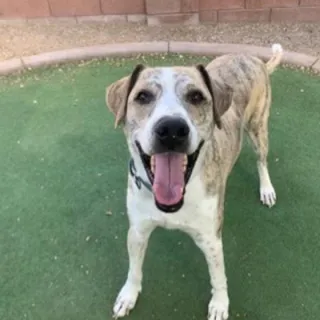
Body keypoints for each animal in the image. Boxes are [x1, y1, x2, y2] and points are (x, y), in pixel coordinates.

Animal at [105, 43, 282, 320]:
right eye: (143, 97)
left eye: (196, 97)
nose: (171, 129)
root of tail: (253, 58)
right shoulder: (137, 231)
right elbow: (134, 268)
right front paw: (128, 295)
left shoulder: (211, 240)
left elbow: (218, 276)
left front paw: (219, 304)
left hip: (258, 126)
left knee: (261, 159)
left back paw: (266, 189)